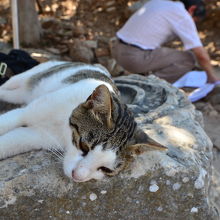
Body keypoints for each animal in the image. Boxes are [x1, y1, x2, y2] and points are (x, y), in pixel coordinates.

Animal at [0, 60, 165, 182]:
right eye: (84, 146)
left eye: (105, 169)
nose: (77, 177)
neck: (62, 128)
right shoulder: (26, 113)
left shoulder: (38, 136)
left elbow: (11, 142)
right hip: (37, 73)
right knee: (13, 83)